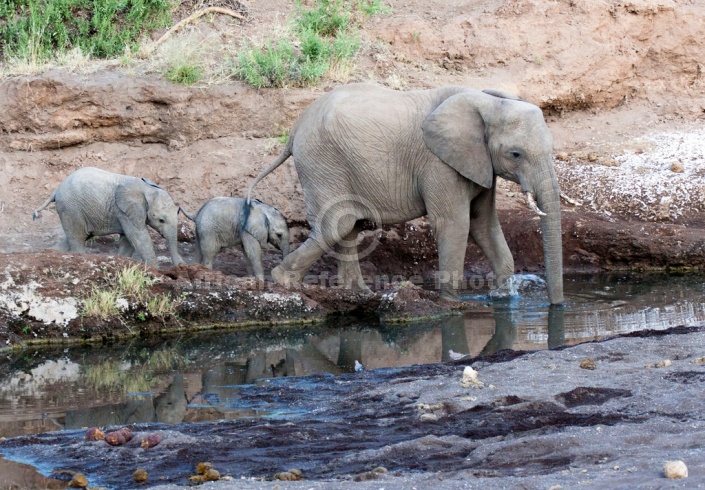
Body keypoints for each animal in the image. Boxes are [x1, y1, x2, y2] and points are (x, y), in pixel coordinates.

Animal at [32, 168, 184, 268]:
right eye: (161, 220)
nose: (181, 267)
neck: (148, 189)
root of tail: (56, 190)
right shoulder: (124, 210)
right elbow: (139, 238)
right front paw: (155, 271)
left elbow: (129, 241)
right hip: (71, 208)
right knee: (77, 238)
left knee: (77, 237)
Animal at [248, 84, 568, 306]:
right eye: (515, 154)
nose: (557, 306)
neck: (487, 101)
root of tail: (294, 128)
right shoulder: (438, 163)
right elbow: (455, 224)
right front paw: (451, 304)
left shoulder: (478, 163)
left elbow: (483, 224)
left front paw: (502, 297)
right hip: (321, 162)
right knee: (336, 225)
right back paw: (283, 282)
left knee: (347, 227)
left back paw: (360, 294)